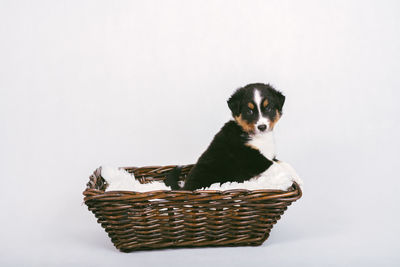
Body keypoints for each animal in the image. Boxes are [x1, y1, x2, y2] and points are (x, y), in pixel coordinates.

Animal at [166, 83, 294, 191]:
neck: (258, 137)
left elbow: (283, 164)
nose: (262, 127)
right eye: (249, 111)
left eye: (268, 108)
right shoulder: (249, 156)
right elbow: (275, 166)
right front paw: (288, 177)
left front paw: (296, 177)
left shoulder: (268, 155)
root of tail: (185, 188)